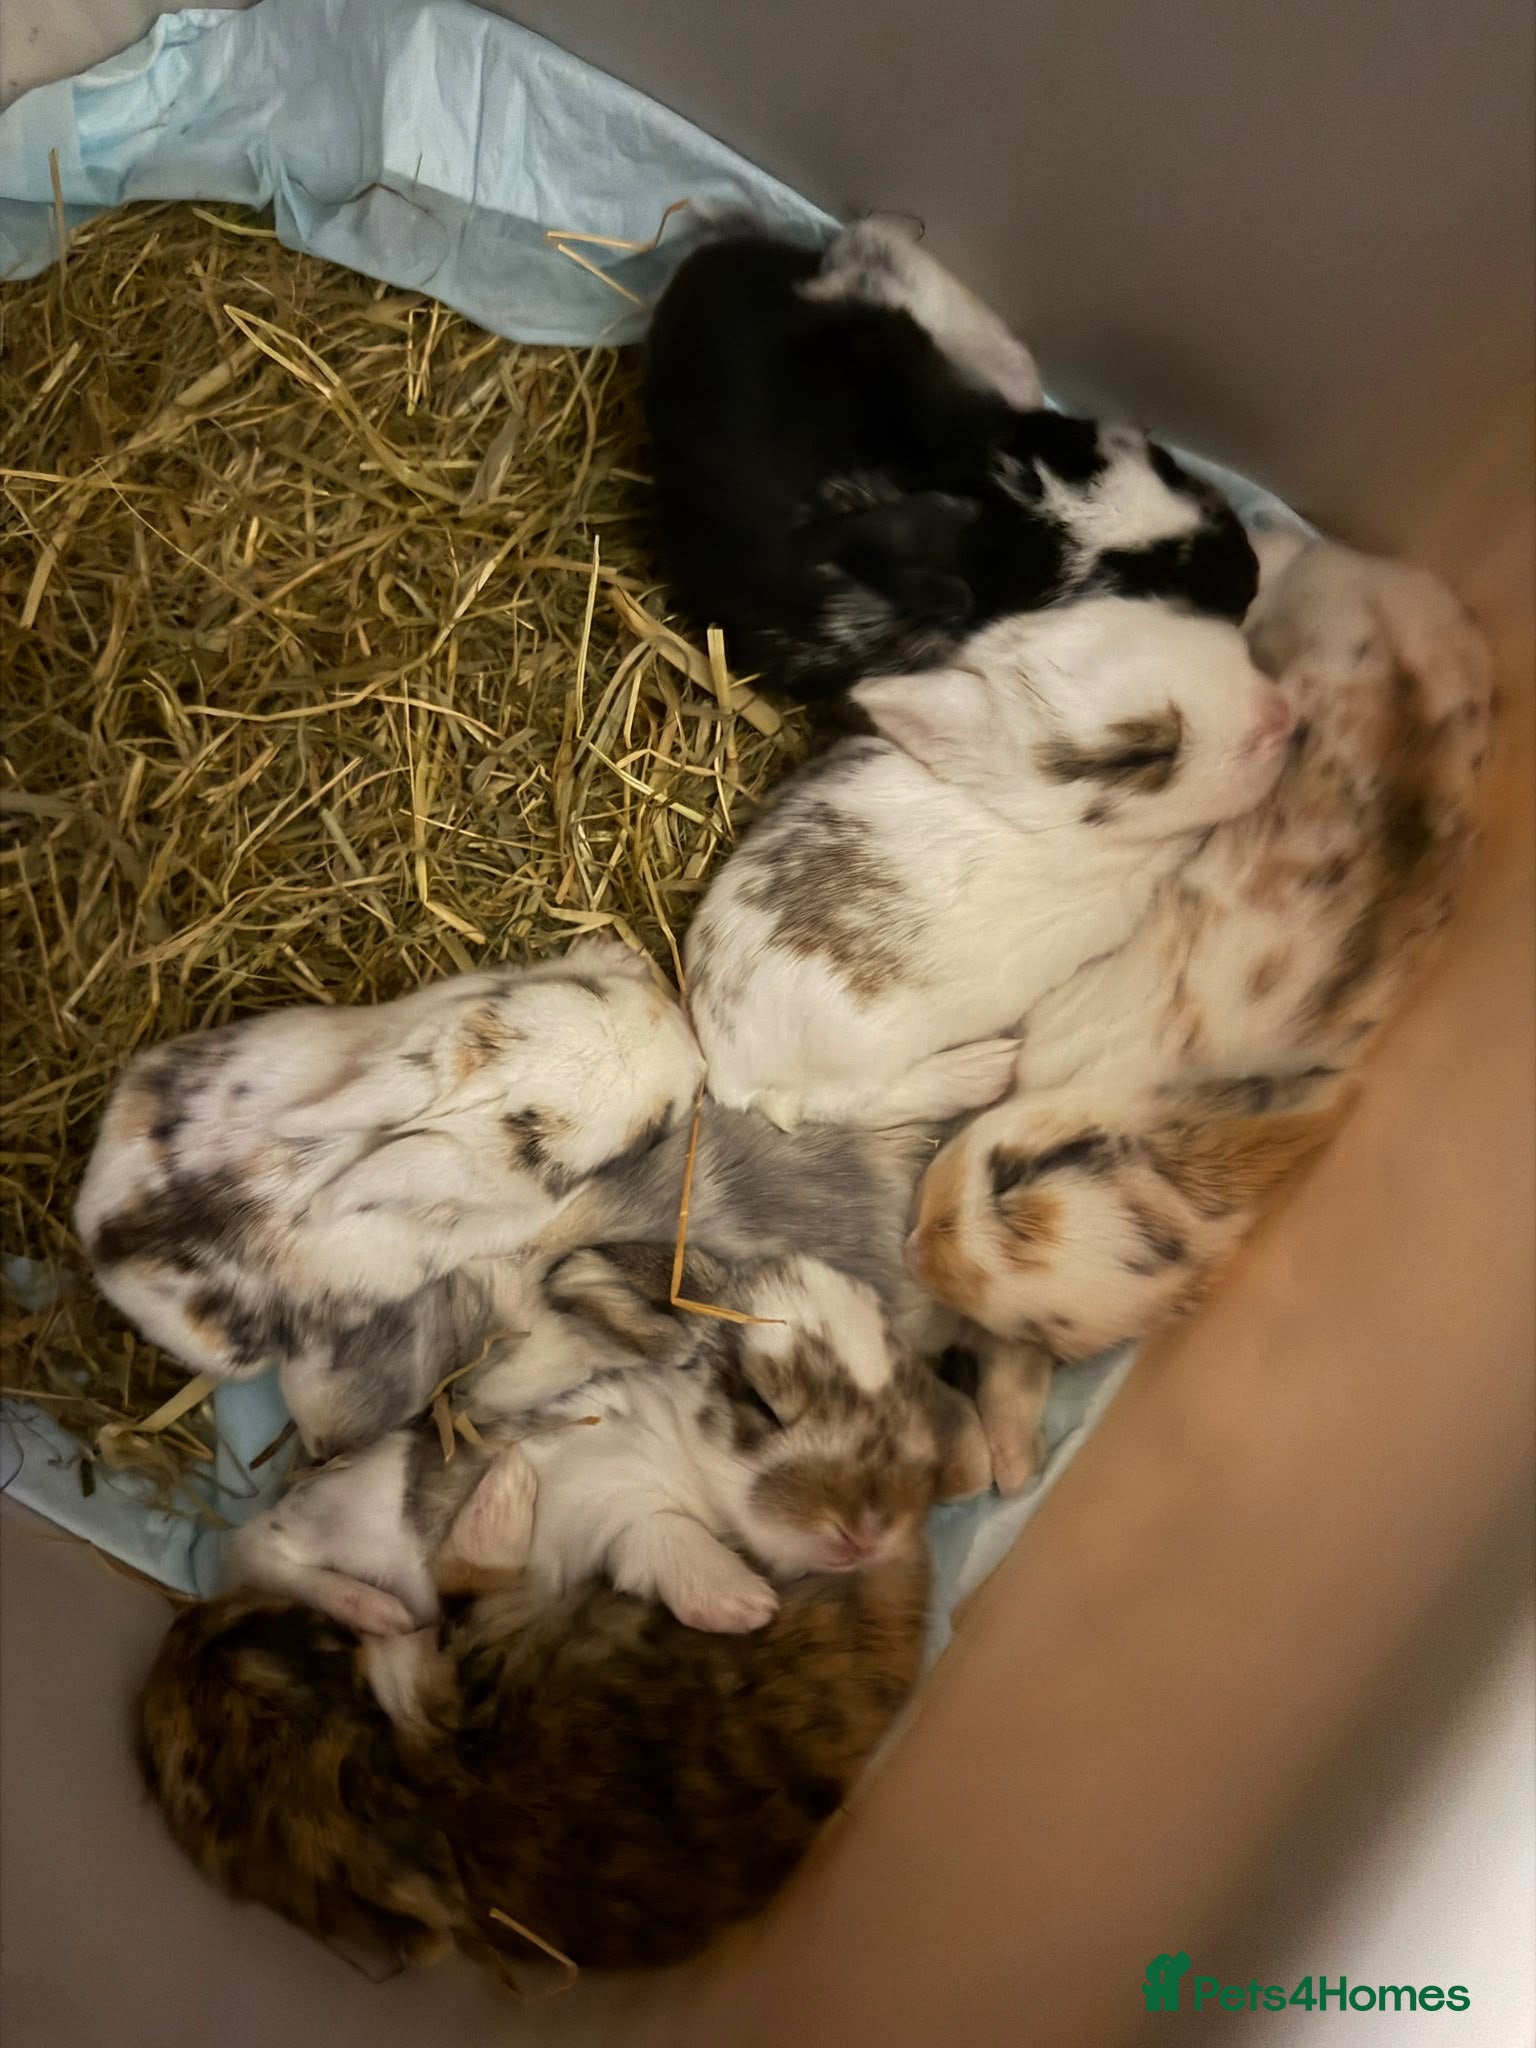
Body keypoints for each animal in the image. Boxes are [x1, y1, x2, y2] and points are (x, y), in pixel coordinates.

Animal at [231, 1242, 992, 1636]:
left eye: (912, 1393)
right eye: (761, 1401)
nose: (867, 1530)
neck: (688, 1468)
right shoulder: (596, 1495)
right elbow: (658, 1528)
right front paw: (739, 1603)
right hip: (329, 1524)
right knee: (263, 1554)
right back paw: (377, 1612)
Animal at [686, 595, 1295, 1133]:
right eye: (1143, 754)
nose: (1280, 714)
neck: (1022, 819)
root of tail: (723, 1066)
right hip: (859, 1052)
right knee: (843, 1106)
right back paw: (983, 1071)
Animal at [905, 538, 1494, 1479]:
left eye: (1045, 1329)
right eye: (1025, 1169)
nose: (920, 1240)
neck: (1150, 1082)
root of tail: (1388, 570)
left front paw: (1009, 1454)